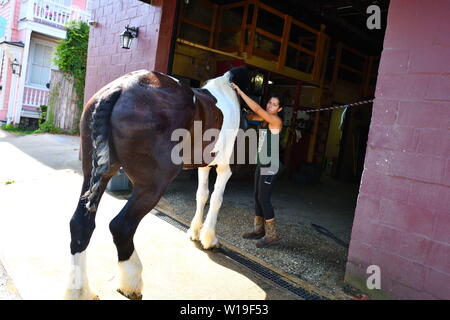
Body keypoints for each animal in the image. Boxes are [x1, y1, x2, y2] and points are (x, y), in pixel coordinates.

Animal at [65, 66, 251, 298]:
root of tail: (121, 87)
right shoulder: (224, 168)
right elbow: (216, 199)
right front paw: (209, 238)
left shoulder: (204, 166)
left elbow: (202, 195)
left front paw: (195, 232)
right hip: (152, 187)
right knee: (121, 226)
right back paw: (131, 281)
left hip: (95, 176)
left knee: (80, 225)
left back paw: (80, 291)